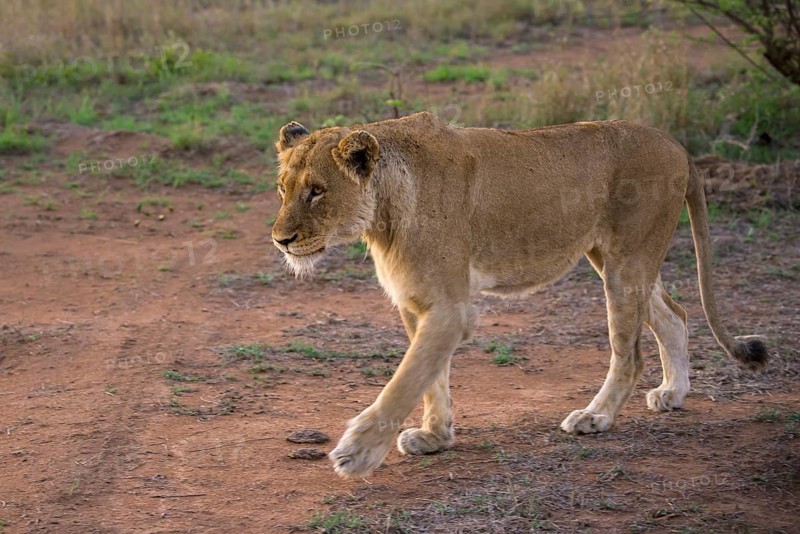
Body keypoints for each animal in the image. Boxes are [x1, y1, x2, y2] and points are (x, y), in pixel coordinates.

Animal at [271, 112, 768, 479]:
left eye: (317, 192)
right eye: (282, 188)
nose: (281, 240)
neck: (383, 213)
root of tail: (675, 144)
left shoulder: (451, 309)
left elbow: (405, 380)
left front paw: (357, 451)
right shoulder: (418, 304)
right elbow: (430, 377)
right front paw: (435, 437)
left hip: (626, 263)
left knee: (630, 355)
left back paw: (596, 418)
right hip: (618, 259)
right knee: (674, 314)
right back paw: (672, 392)